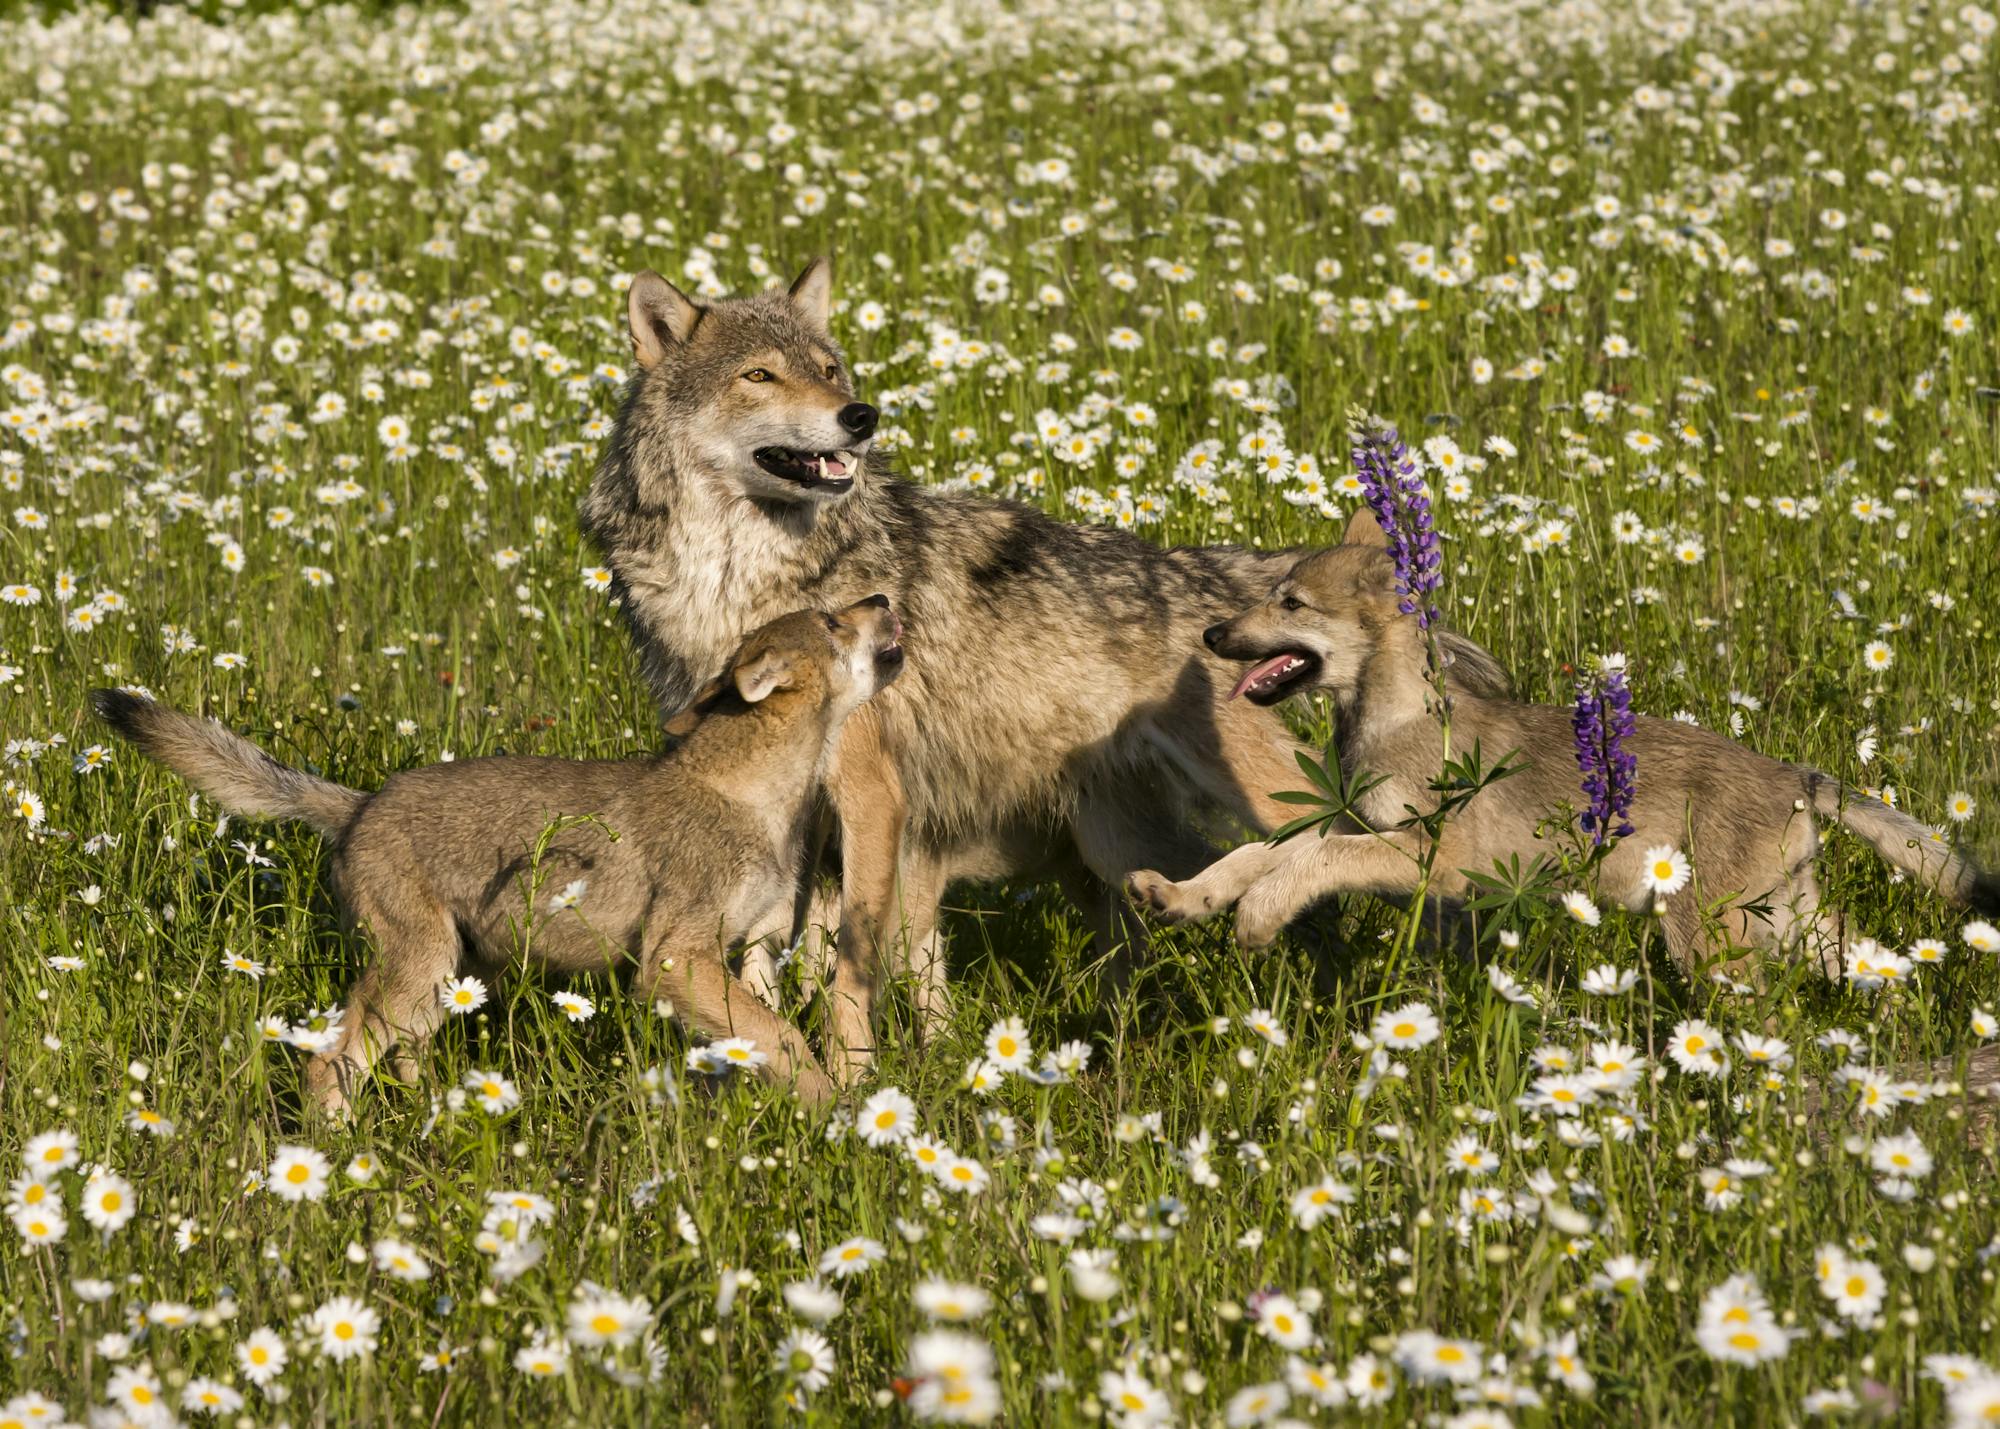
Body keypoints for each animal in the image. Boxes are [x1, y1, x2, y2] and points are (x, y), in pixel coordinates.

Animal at [572, 258, 1504, 1080]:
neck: (743, 578)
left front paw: (851, 1079)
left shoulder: (873, 795)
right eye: (760, 375)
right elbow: (775, 955)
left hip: (1264, 808)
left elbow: (850, 966)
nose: (860, 416)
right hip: (1119, 845)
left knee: (1350, 862)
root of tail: (1210, 582)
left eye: (829, 370)